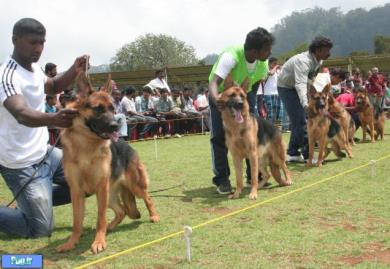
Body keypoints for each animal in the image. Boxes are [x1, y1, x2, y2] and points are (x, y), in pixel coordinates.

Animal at [56, 71, 158, 253]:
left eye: (112, 108)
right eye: (98, 109)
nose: (115, 126)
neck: (85, 146)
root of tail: (127, 145)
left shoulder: (101, 188)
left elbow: (100, 217)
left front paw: (99, 241)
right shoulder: (76, 191)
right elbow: (76, 221)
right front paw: (72, 242)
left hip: (134, 186)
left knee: (148, 198)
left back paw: (153, 216)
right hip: (110, 196)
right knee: (122, 210)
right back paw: (112, 226)